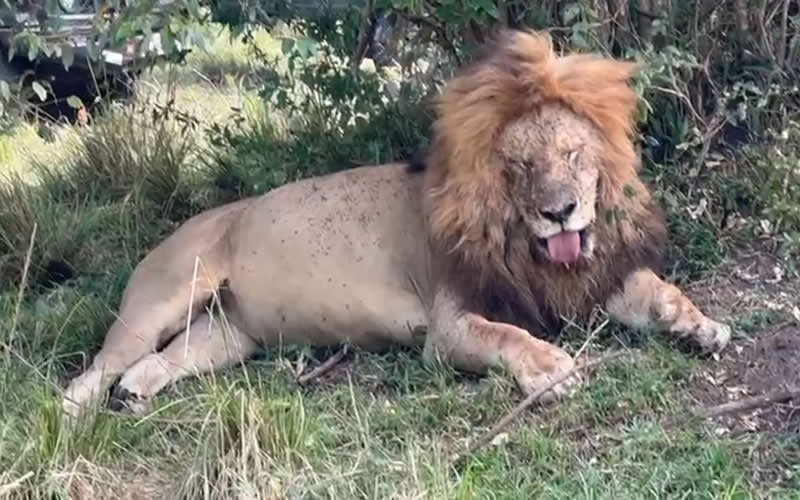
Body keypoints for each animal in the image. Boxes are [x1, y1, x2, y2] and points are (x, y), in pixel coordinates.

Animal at [63, 29, 731, 416]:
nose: (559, 210)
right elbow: (506, 337)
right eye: (520, 165)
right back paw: (71, 421)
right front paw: (551, 369)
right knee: (90, 374)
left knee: (158, 363)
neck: (526, 246)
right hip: (162, 300)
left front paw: (700, 324)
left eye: (571, 154)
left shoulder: (584, 283)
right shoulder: (449, 327)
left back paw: (135, 398)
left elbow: (656, 292)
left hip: (227, 336)